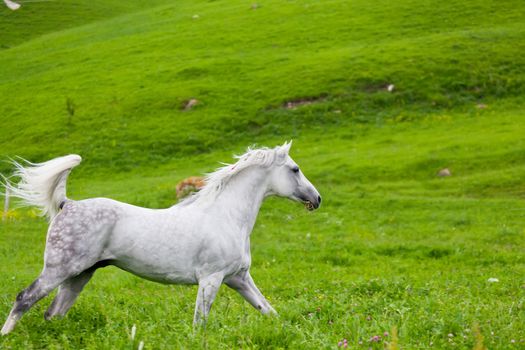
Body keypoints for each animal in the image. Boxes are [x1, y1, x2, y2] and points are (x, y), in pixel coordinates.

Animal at [1, 142, 320, 334]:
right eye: (295, 169)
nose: (317, 199)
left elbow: (268, 310)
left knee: (53, 313)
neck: (226, 216)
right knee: (24, 299)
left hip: (79, 275)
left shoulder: (238, 278)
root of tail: (68, 204)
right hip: (59, 270)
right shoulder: (211, 279)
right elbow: (199, 322)